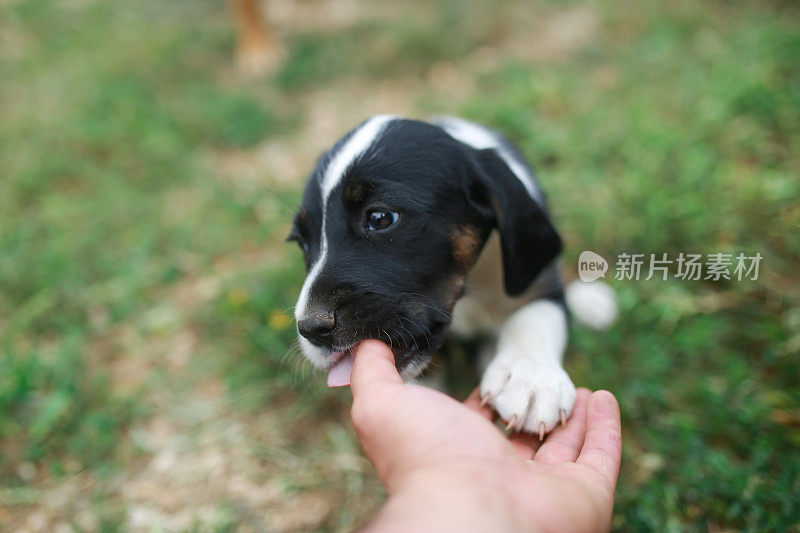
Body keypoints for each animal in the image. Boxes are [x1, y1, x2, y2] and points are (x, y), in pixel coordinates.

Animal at [290, 114, 616, 434]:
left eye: (381, 218)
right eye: (303, 243)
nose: (311, 329)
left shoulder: (535, 275)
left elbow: (535, 315)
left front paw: (530, 377)